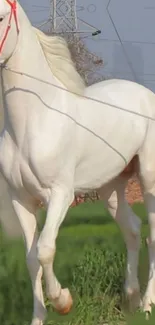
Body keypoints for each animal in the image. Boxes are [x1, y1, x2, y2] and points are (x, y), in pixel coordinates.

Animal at [0, 1, 154, 322]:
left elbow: (45, 249)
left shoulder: (60, 194)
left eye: (2, 17)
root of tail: (146, 94)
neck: (34, 118)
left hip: (149, 179)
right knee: (132, 229)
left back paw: (147, 305)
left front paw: (63, 302)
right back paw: (131, 299)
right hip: (111, 189)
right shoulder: (21, 199)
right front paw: (38, 318)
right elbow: (31, 259)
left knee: (152, 235)